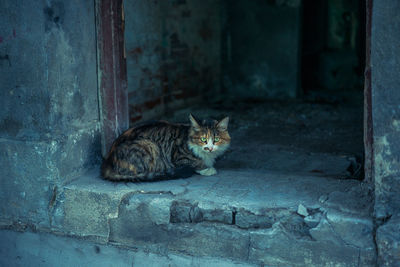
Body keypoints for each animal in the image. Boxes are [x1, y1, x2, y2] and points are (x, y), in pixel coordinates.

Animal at [101, 114, 230, 183]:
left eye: (216, 139)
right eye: (203, 139)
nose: (210, 148)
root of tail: (108, 161)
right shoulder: (179, 157)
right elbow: (195, 162)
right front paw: (207, 169)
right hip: (149, 145)